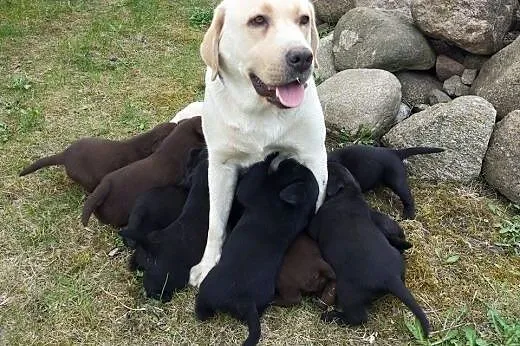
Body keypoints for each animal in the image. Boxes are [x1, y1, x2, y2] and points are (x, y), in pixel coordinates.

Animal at [19, 121, 176, 192]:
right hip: (86, 178)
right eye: (172, 128)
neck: (141, 144)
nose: (176, 122)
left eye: (170, 124)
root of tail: (65, 155)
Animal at [189, 0, 328, 286]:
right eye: (258, 20)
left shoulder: (314, 158)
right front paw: (207, 264)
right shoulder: (220, 166)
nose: (303, 57)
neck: (261, 112)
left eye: (304, 19)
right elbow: (215, 223)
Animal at [195, 157, 316, 346]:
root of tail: (247, 302)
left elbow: (251, 181)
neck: (296, 209)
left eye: (294, 168)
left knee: (202, 310)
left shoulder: (251, 192)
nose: (290, 159)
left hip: (209, 288)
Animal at [308, 163, 430, 338]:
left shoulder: (315, 225)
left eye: (330, 170)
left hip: (347, 290)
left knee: (358, 317)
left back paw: (331, 316)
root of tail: (391, 278)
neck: (349, 193)